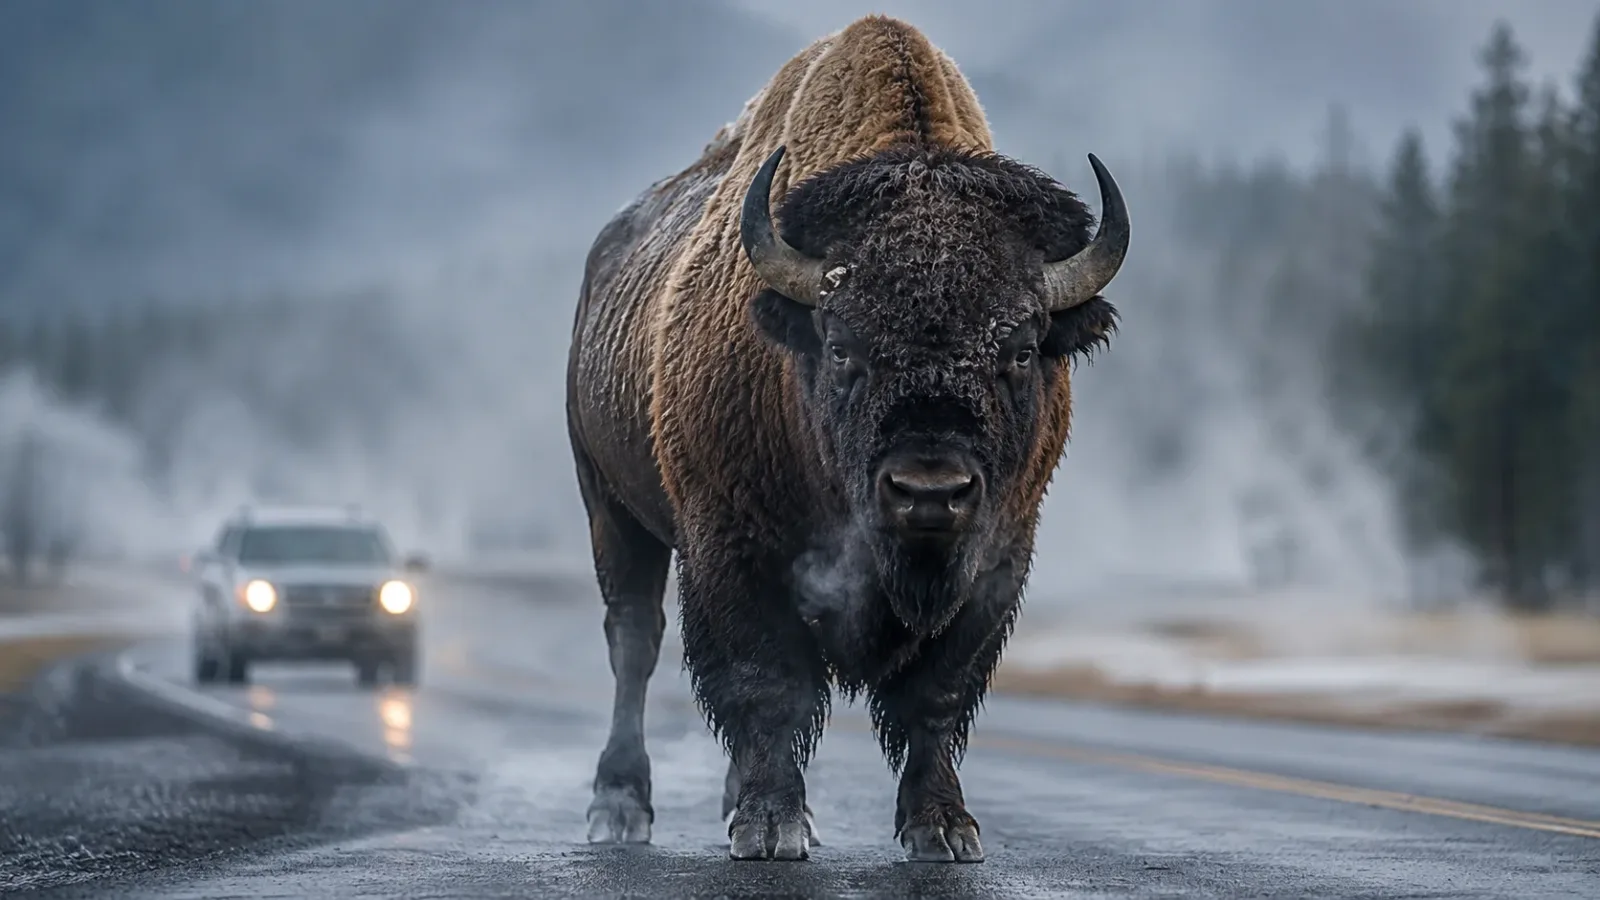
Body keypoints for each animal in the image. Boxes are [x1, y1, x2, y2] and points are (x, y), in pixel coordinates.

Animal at [565, 15, 1129, 862]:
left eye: (1023, 348)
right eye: (841, 346)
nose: (929, 490)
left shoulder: (998, 557)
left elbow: (937, 695)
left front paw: (944, 829)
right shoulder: (731, 546)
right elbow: (766, 683)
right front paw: (771, 828)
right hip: (611, 509)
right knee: (634, 640)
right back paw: (619, 808)